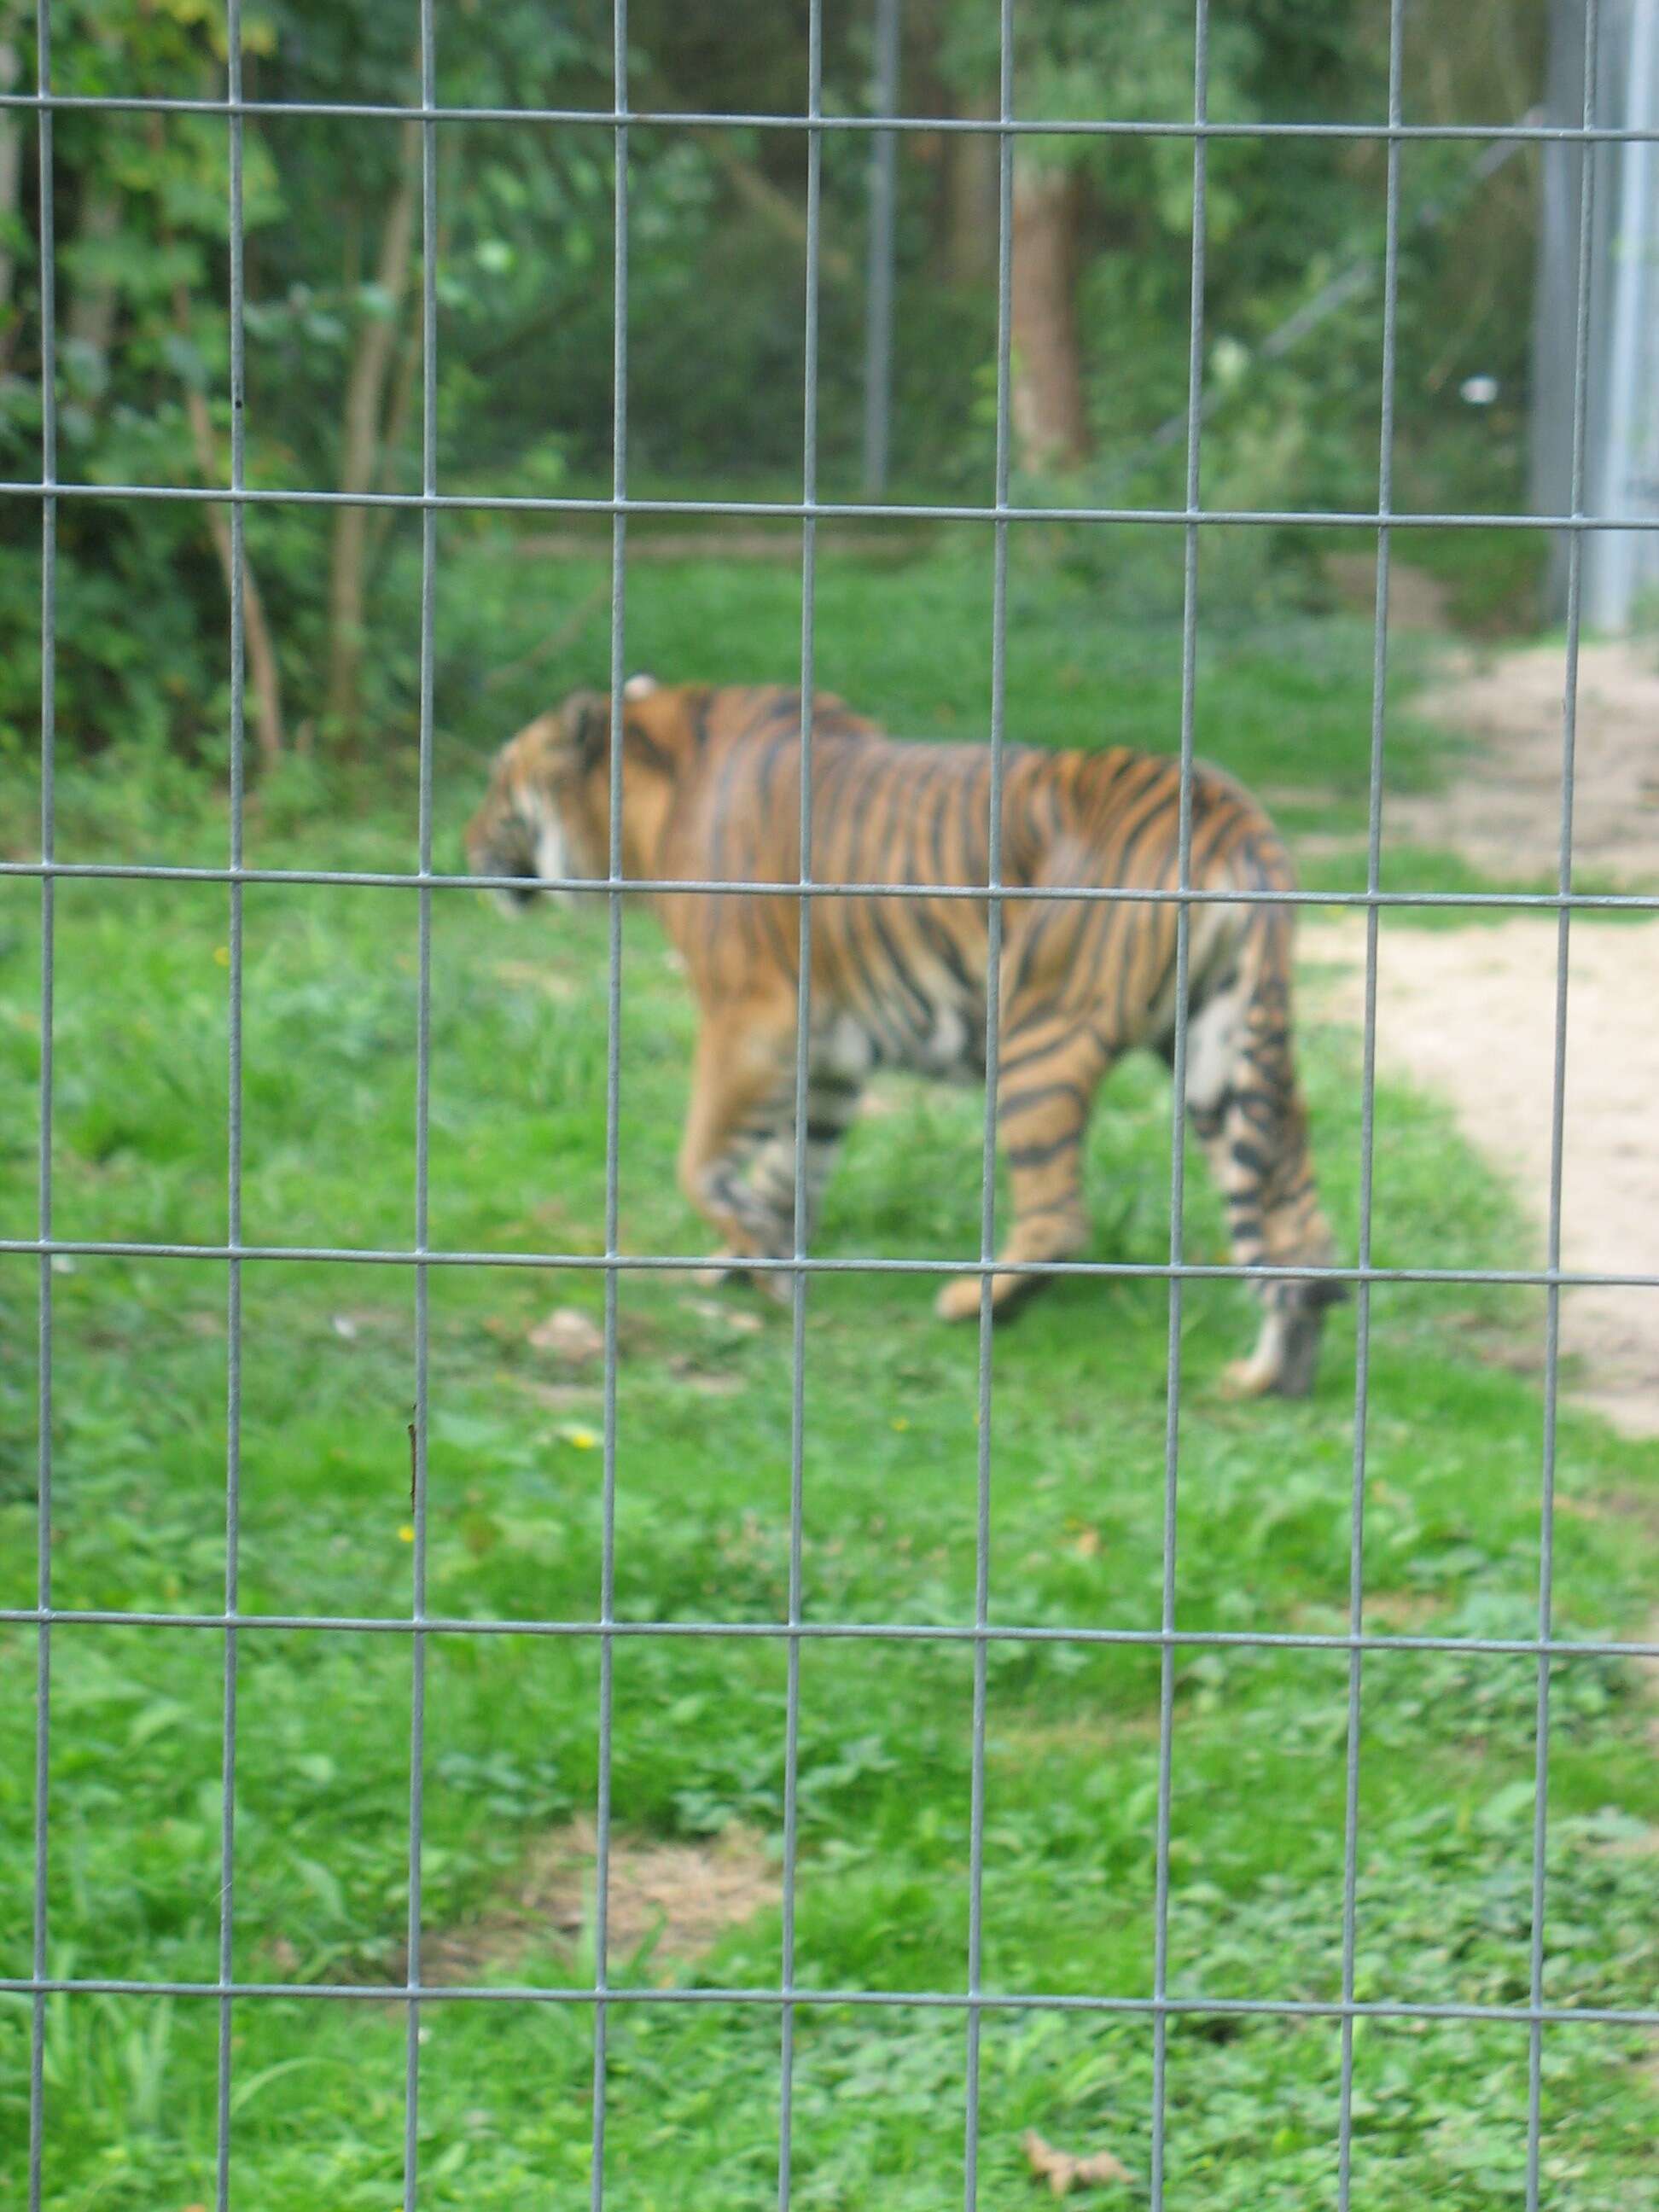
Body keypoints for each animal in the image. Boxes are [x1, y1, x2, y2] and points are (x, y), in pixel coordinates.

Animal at [469, 677, 1353, 1398]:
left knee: (1060, 1217)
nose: (465, 847)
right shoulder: (828, 1052)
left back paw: (971, 1302)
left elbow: (701, 1161)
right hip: (1219, 1048)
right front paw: (760, 1261)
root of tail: (1231, 814)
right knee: (1295, 1225)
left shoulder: (751, 1013)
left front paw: (752, 1257)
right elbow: (789, 1168)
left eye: (497, 780)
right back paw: (1271, 1377)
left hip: (1042, 1031)